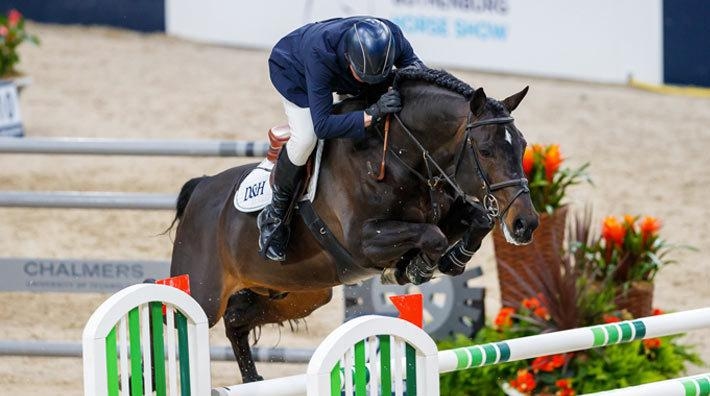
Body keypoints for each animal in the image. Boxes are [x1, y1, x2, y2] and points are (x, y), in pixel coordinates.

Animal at [171, 66, 540, 382]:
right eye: (486, 150)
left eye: (522, 145)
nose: (526, 224)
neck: (397, 155)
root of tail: (202, 188)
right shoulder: (363, 242)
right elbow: (432, 235)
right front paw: (414, 268)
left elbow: (478, 221)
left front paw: (450, 261)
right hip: (203, 294)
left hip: (300, 293)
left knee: (236, 320)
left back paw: (252, 379)